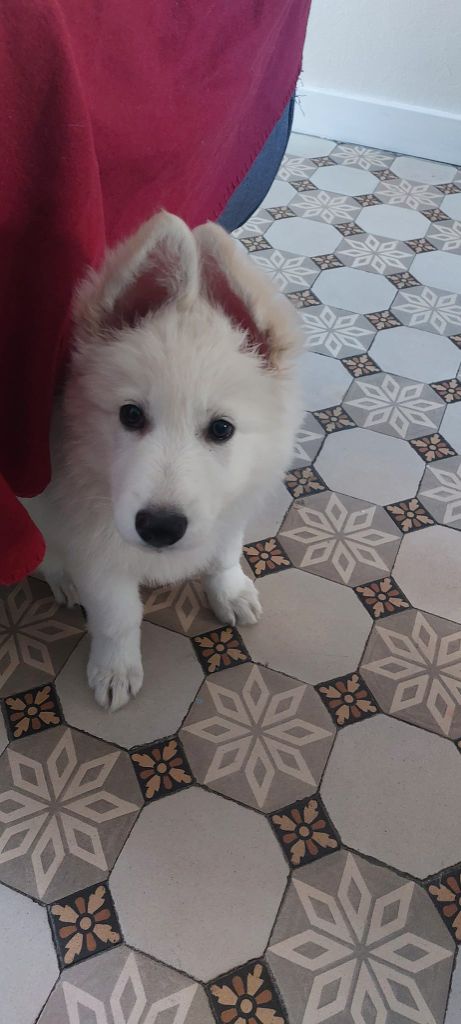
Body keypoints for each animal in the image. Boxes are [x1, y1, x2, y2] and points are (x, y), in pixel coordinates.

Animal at [26, 212, 302, 709]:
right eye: (131, 415)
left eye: (222, 429)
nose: (159, 528)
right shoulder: (96, 548)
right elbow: (117, 616)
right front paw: (115, 670)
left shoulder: (230, 506)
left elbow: (223, 552)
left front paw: (229, 591)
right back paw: (62, 578)